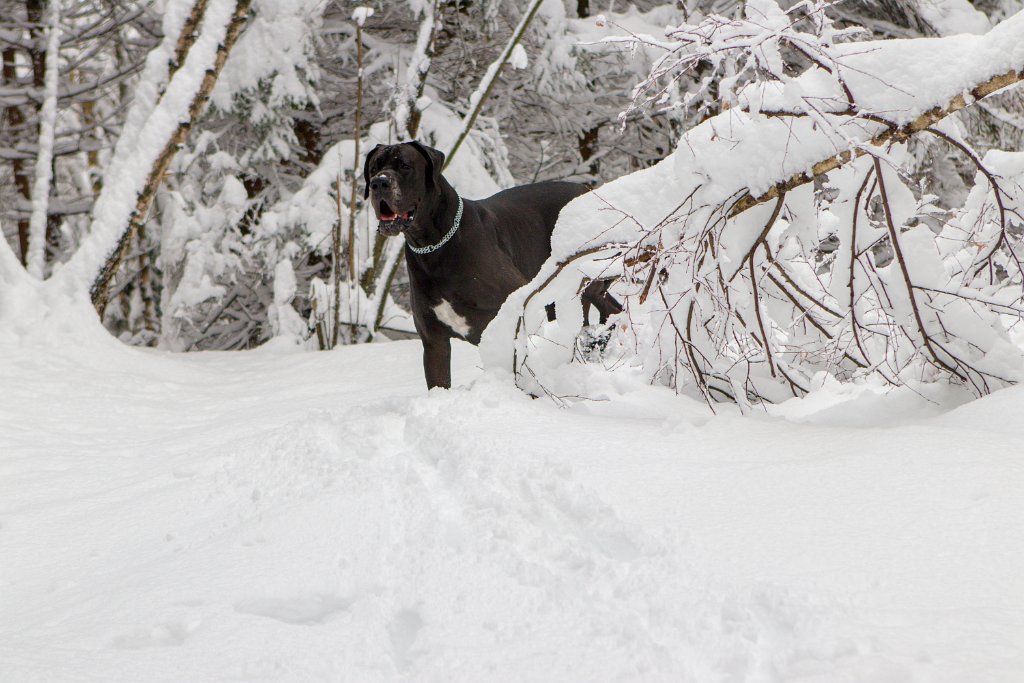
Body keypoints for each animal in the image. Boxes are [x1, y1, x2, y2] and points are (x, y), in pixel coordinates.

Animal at [364, 143, 618, 389]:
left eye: (404, 165)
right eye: (374, 168)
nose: (379, 183)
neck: (433, 246)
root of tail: (589, 190)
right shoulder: (434, 342)